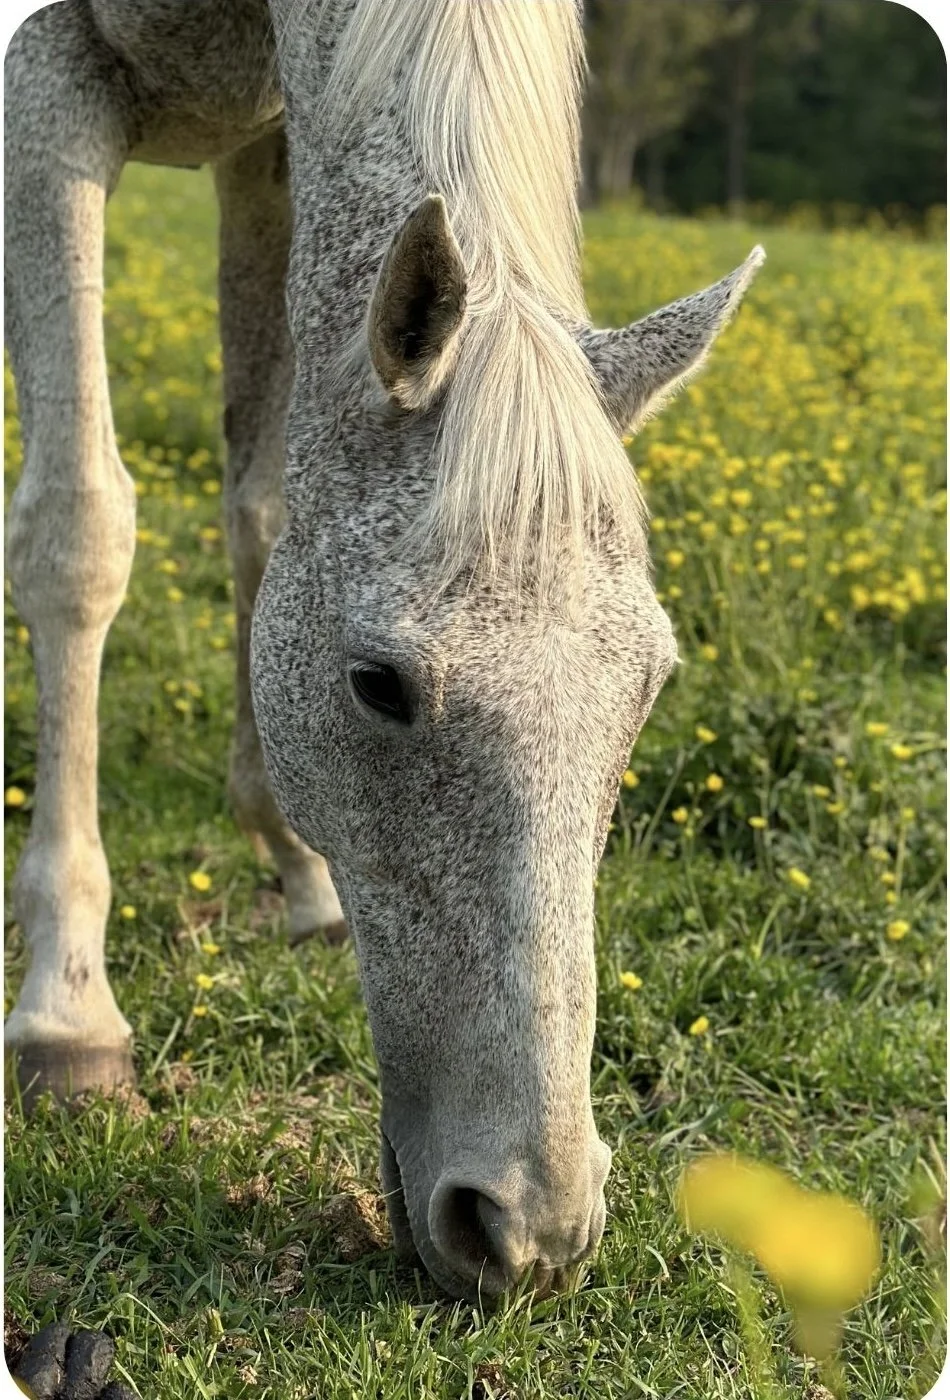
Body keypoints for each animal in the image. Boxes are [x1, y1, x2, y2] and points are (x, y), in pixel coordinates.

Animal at [5, 0, 763, 1306]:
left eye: (649, 690)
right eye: (379, 684)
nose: (529, 1229)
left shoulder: (272, 152)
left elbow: (264, 501)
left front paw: (301, 872)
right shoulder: (47, 77)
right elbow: (77, 529)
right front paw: (67, 1012)